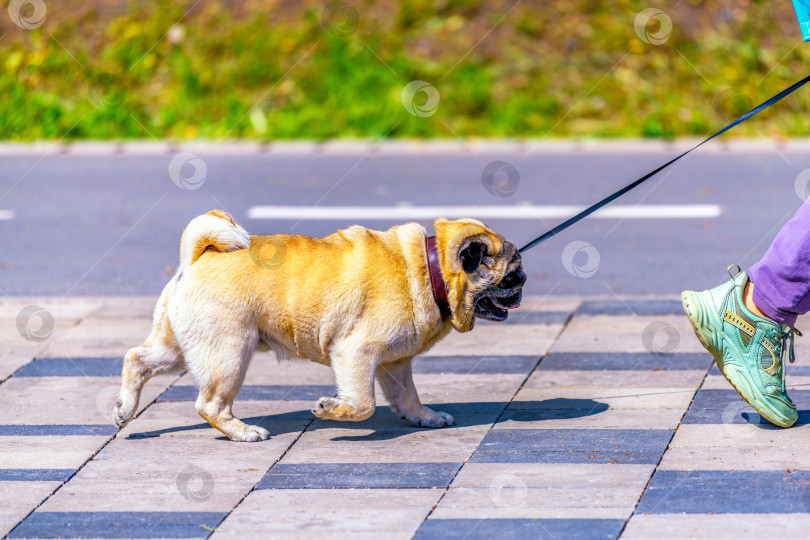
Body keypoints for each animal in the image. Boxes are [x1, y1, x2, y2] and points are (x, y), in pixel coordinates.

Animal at [113, 209, 528, 440]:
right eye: (511, 276)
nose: (524, 282)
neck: (429, 269)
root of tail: (199, 257)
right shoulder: (356, 353)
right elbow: (363, 404)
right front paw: (332, 411)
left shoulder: (395, 363)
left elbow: (407, 396)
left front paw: (423, 417)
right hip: (228, 352)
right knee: (210, 405)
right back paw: (243, 433)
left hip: (183, 347)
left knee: (137, 359)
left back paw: (124, 408)